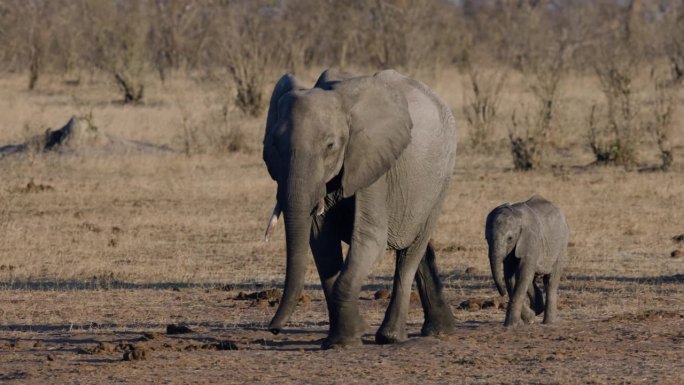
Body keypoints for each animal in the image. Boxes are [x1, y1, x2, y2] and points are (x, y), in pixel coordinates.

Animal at [264, 69, 456, 348]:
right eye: (275, 145)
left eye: (330, 146)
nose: (274, 330)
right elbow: (321, 242)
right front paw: (346, 335)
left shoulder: (373, 162)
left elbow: (371, 239)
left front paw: (346, 340)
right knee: (417, 246)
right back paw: (441, 330)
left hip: (442, 178)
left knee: (412, 250)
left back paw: (391, 337)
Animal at [484, 196, 568, 326]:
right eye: (486, 238)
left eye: (510, 238)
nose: (502, 294)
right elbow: (510, 276)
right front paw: (529, 318)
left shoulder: (531, 240)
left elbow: (522, 274)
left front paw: (510, 325)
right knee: (531, 278)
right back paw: (537, 310)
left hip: (561, 245)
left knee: (550, 281)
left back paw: (548, 322)